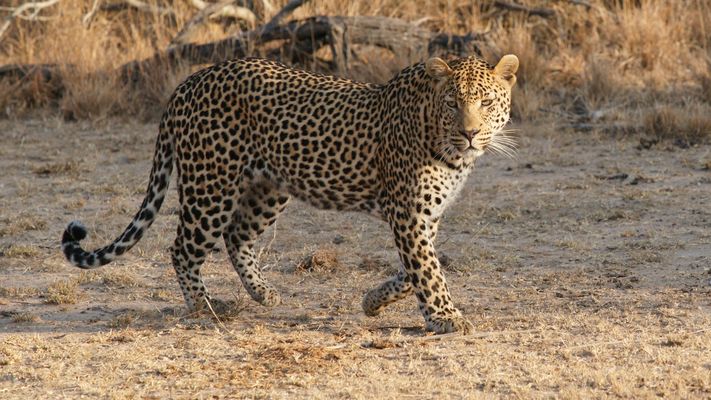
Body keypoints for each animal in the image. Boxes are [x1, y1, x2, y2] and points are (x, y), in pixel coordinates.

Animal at [62, 54, 519, 334]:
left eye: (485, 102)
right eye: (453, 103)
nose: (470, 133)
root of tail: (189, 81)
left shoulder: (426, 216)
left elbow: (415, 270)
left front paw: (372, 301)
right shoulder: (408, 214)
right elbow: (427, 270)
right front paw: (446, 317)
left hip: (268, 188)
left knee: (237, 236)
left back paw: (262, 293)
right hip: (211, 187)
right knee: (183, 249)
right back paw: (206, 309)